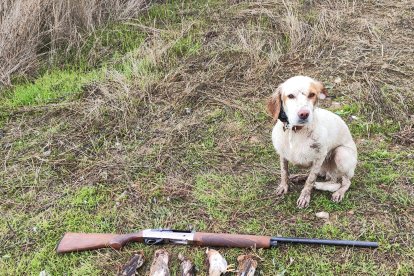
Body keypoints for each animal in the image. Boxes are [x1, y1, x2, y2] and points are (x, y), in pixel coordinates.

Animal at [266, 75, 358, 207]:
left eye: (312, 94)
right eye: (290, 96)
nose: (304, 114)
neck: (296, 131)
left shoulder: (319, 158)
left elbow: (310, 180)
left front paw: (305, 196)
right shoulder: (282, 155)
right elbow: (284, 172)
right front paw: (283, 186)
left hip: (341, 153)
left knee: (344, 182)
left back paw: (339, 192)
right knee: (324, 176)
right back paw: (300, 176)